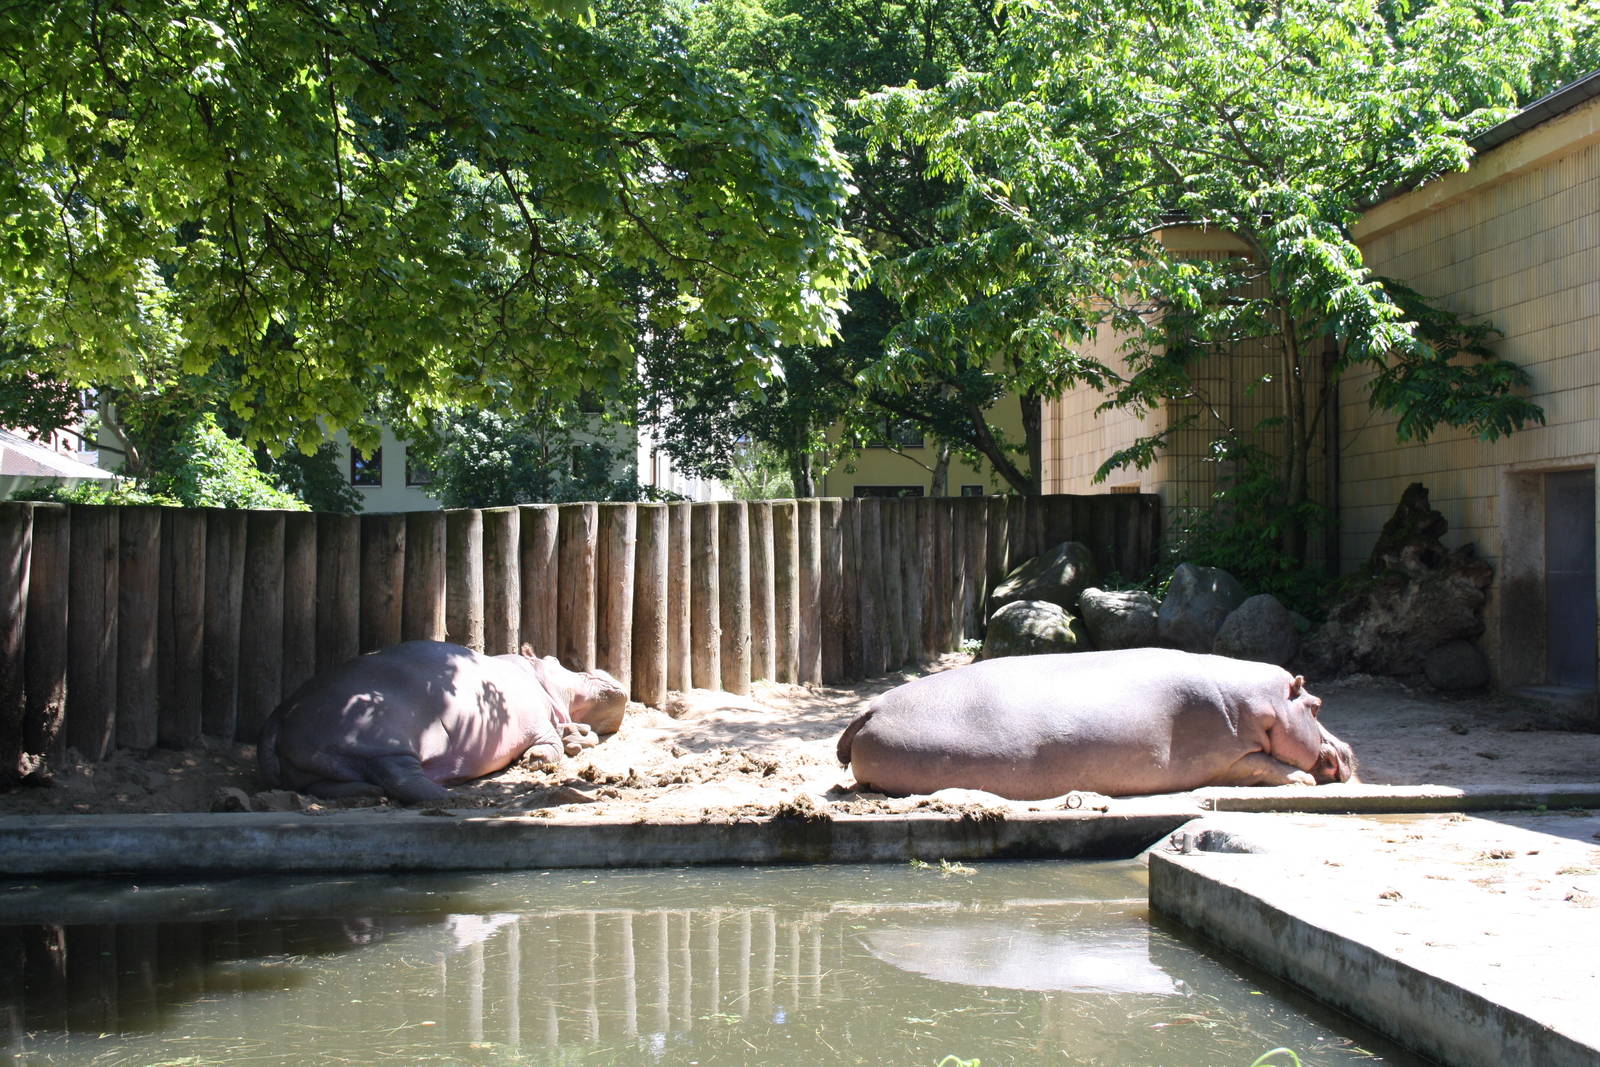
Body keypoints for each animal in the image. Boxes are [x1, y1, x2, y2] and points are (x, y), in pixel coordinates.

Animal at [258, 640, 627, 803]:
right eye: (555, 660)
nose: (605, 671)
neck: (533, 674)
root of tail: (281, 714)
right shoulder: (539, 723)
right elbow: (550, 744)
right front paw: (537, 759)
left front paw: (578, 737)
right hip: (385, 742)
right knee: (402, 779)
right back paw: (457, 799)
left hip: (316, 765)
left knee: (323, 784)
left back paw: (368, 795)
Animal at [836, 648, 1355, 799]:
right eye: (1317, 704)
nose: (1349, 752)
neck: (1265, 707)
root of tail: (873, 706)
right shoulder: (1232, 755)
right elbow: (1275, 767)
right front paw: (1306, 779)